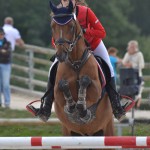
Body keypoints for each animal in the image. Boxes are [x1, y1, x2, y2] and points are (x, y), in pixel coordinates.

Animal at [49, 0, 114, 141]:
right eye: (52, 26)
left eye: (71, 26)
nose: (61, 55)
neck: (76, 63)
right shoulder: (57, 94)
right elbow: (62, 85)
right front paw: (71, 107)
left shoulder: (96, 90)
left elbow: (85, 82)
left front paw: (82, 109)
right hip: (68, 132)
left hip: (107, 128)